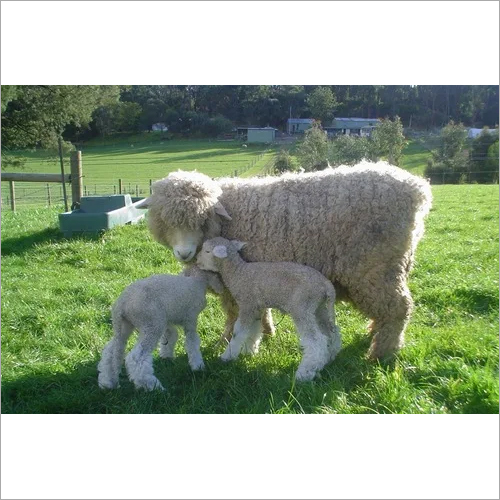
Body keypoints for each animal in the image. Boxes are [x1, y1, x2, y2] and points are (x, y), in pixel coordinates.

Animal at [138, 161, 434, 360]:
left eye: (201, 219)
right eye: (164, 220)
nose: (184, 254)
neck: (226, 218)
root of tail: (418, 190)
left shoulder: (235, 282)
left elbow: (233, 313)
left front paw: (227, 340)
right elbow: (260, 311)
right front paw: (267, 331)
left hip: (375, 267)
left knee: (398, 308)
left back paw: (382, 353)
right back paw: (374, 333)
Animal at [197, 236, 342, 380]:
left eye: (207, 251)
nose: (197, 262)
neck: (238, 273)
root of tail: (327, 286)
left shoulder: (247, 305)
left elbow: (239, 332)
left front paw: (227, 356)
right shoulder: (256, 308)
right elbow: (254, 330)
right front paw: (249, 351)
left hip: (302, 307)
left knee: (317, 340)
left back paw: (305, 373)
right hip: (320, 308)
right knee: (332, 333)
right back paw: (328, 359)